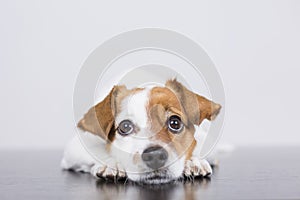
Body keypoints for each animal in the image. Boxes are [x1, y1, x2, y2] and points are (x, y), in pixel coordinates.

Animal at [61, 78, 220, 184]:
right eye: (125, 126)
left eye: (175, 123)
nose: (155, 156)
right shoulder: (75, 149)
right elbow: (97, 151)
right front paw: (111, 163)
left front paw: (193, 162)